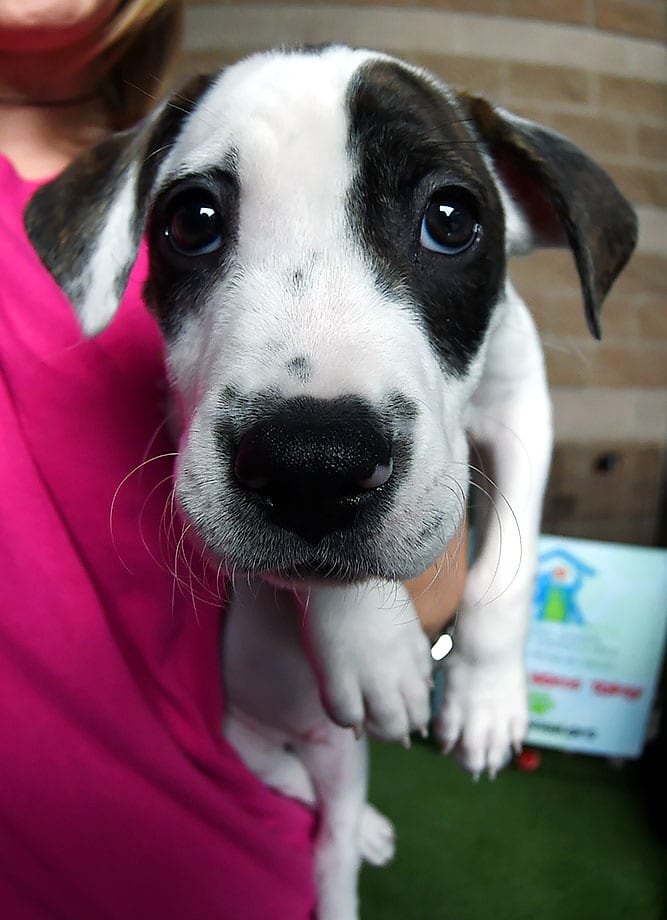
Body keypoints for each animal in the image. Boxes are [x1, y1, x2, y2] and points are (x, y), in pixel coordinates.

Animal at [27, 46, 636, 920]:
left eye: (450, 219)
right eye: (192, 220)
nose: (312, 463)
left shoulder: (522, 398)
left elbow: (507, 568)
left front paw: (487, 697)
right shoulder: (188, 436)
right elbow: (313, 579)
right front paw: (374, 646)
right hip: (283, 737)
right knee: (307, 811)